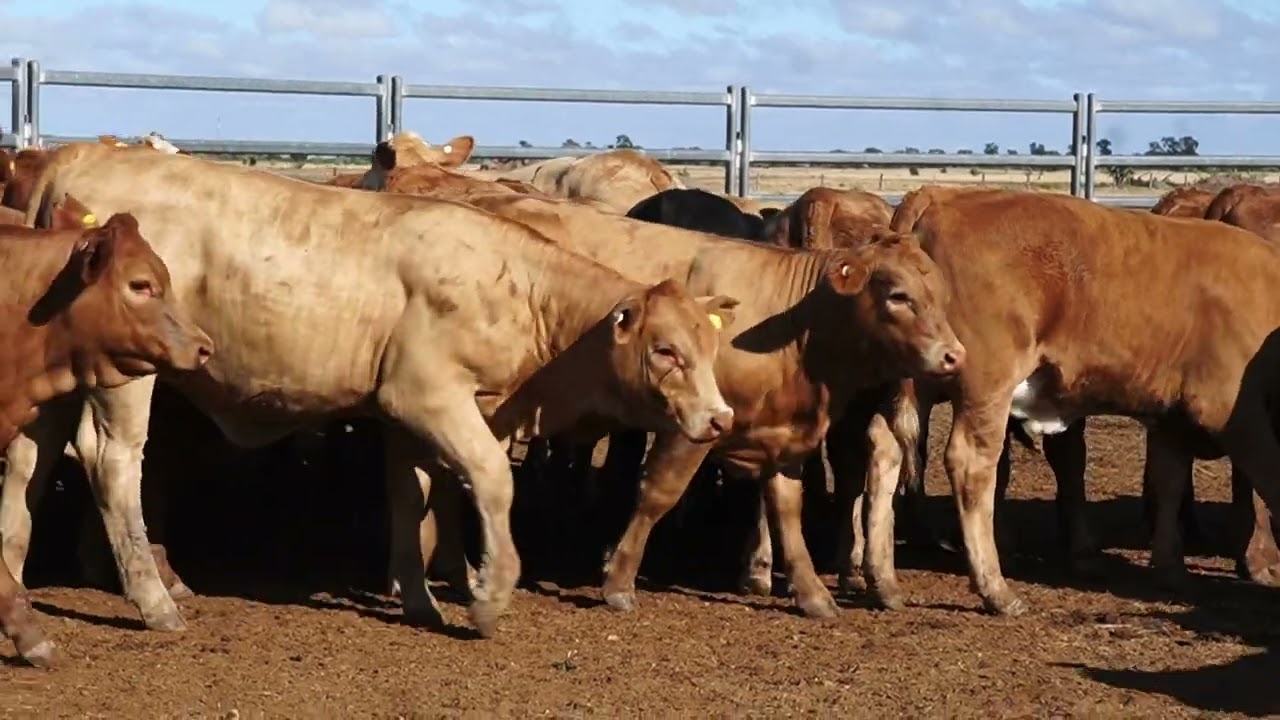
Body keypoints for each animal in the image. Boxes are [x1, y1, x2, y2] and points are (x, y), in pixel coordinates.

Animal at [380, 186, 965, 619]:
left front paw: (812, 595)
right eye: (898, 295)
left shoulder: (783, 436)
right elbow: (657, 495)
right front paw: (618, 580)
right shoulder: (692, 426)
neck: (794, 322)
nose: (954, 354)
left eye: (939, 294)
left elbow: (787, 509)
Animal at [857, 185, 1280, 616]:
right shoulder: (1234, 414)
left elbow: (1169, 486)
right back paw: (995, 588)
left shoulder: (1169, 419)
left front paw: (1170, 570)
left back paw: (884, 580)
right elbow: (1268, 479)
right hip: (987, 384)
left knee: (885, 446)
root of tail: (940, 195)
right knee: (971, 464)